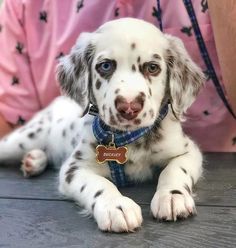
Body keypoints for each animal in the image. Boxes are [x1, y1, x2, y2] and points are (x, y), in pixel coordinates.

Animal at [0, 17, 205, 232]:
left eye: (152, 67)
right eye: (105, 66)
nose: (129, 107)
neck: (127, 137)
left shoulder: (188, 151)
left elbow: (174, 170)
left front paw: (172, 196)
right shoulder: (74, 168)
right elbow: (98, 184)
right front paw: (116, 206)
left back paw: (33, 161)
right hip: (23, 139)